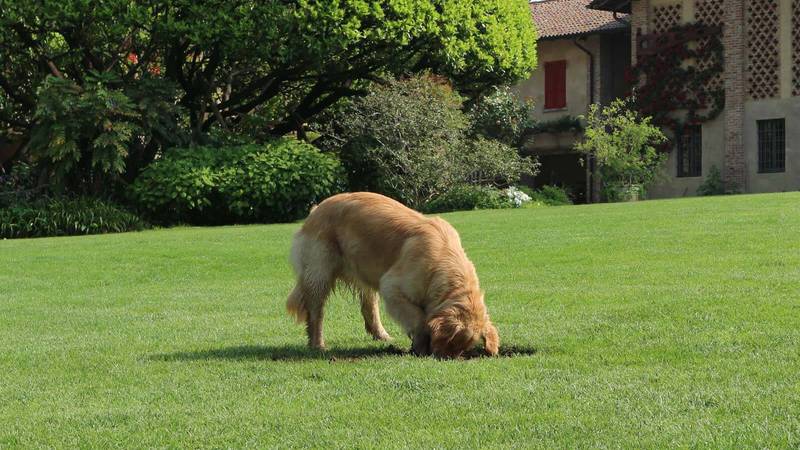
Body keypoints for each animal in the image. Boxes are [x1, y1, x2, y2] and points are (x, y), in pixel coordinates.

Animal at [288, 192, 500, 356]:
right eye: (451, 341)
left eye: (463, 348)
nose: (443, 358)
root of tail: (316, 209)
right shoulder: (392, 286)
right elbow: (419, 319)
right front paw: (419, 345)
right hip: (319, 274)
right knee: (316, 313)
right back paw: (318, 345)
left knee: (369, 308)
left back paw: (381, 335)